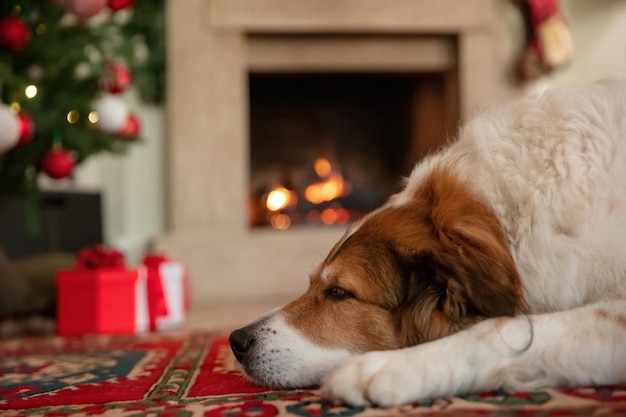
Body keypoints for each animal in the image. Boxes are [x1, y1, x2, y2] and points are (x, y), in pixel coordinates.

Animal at [228, 79, 624, 404]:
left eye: (339, 292)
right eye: (310, 283)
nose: (236, 340)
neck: (513, 223)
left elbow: (501, 330)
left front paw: (388, 369)